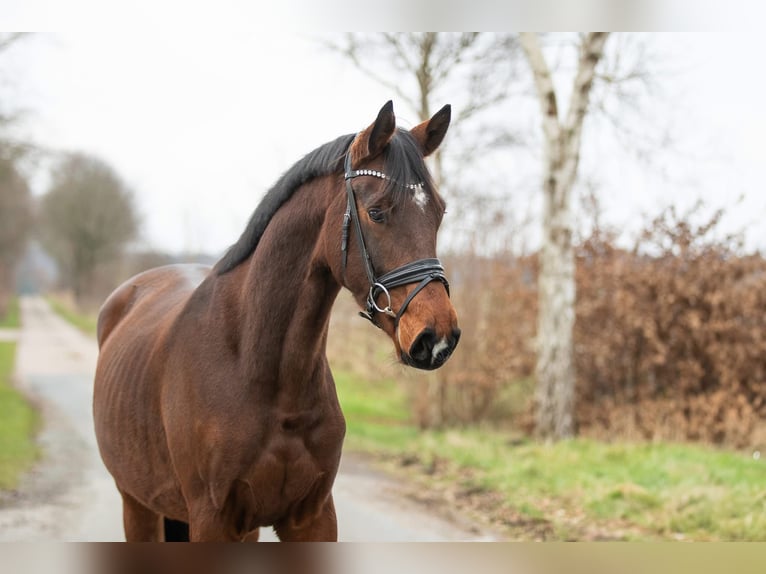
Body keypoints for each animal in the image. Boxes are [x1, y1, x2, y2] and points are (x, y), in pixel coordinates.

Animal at [92, 100, 460, 544]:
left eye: (439, 213)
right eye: (377, 213)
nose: (437, 338)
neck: (260, 371)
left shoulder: (312, 517)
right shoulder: (211, 520)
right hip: (137, 505)